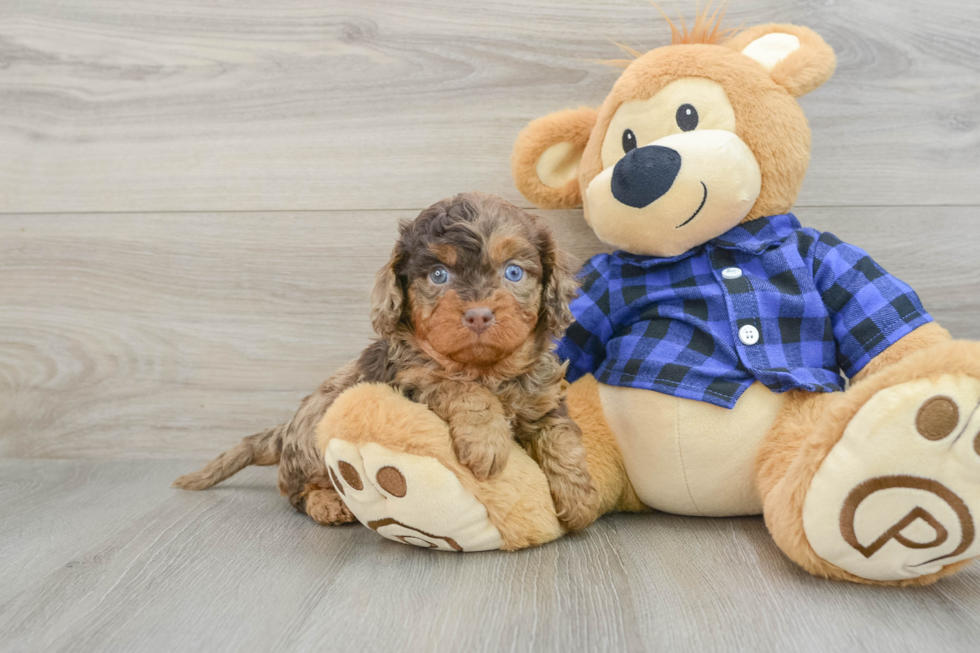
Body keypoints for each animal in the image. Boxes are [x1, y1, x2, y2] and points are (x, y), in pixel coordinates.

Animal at [178, 191, 604, 532]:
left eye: (513, 271)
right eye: (438, 275)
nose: (479, 315)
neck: (487, 370)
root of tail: (284, 432)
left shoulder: (544, 401)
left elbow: (563, 439)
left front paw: (579, 498)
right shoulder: (410, 377)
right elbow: (459, 387)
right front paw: (487, 441)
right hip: (314, 439)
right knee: (296, 491)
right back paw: (327, 503)